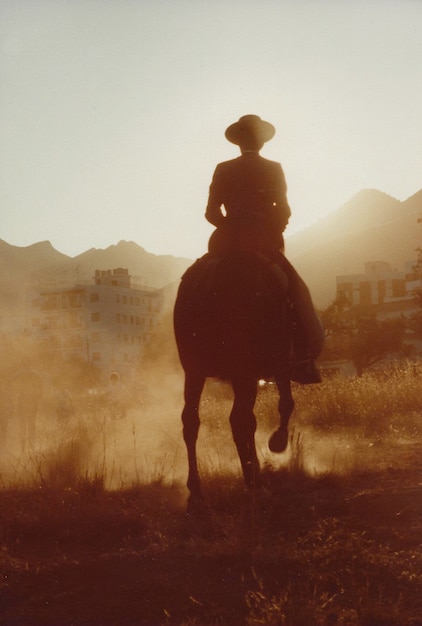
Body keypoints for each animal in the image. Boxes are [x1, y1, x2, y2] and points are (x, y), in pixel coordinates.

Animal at [173, 251, 296, 504]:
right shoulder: (277, 361)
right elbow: (285, 403)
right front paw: (277, 441)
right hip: (243, 369)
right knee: (239, 419)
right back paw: (254, 484)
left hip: (195, 370)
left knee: (191, 420)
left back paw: (196, 489)